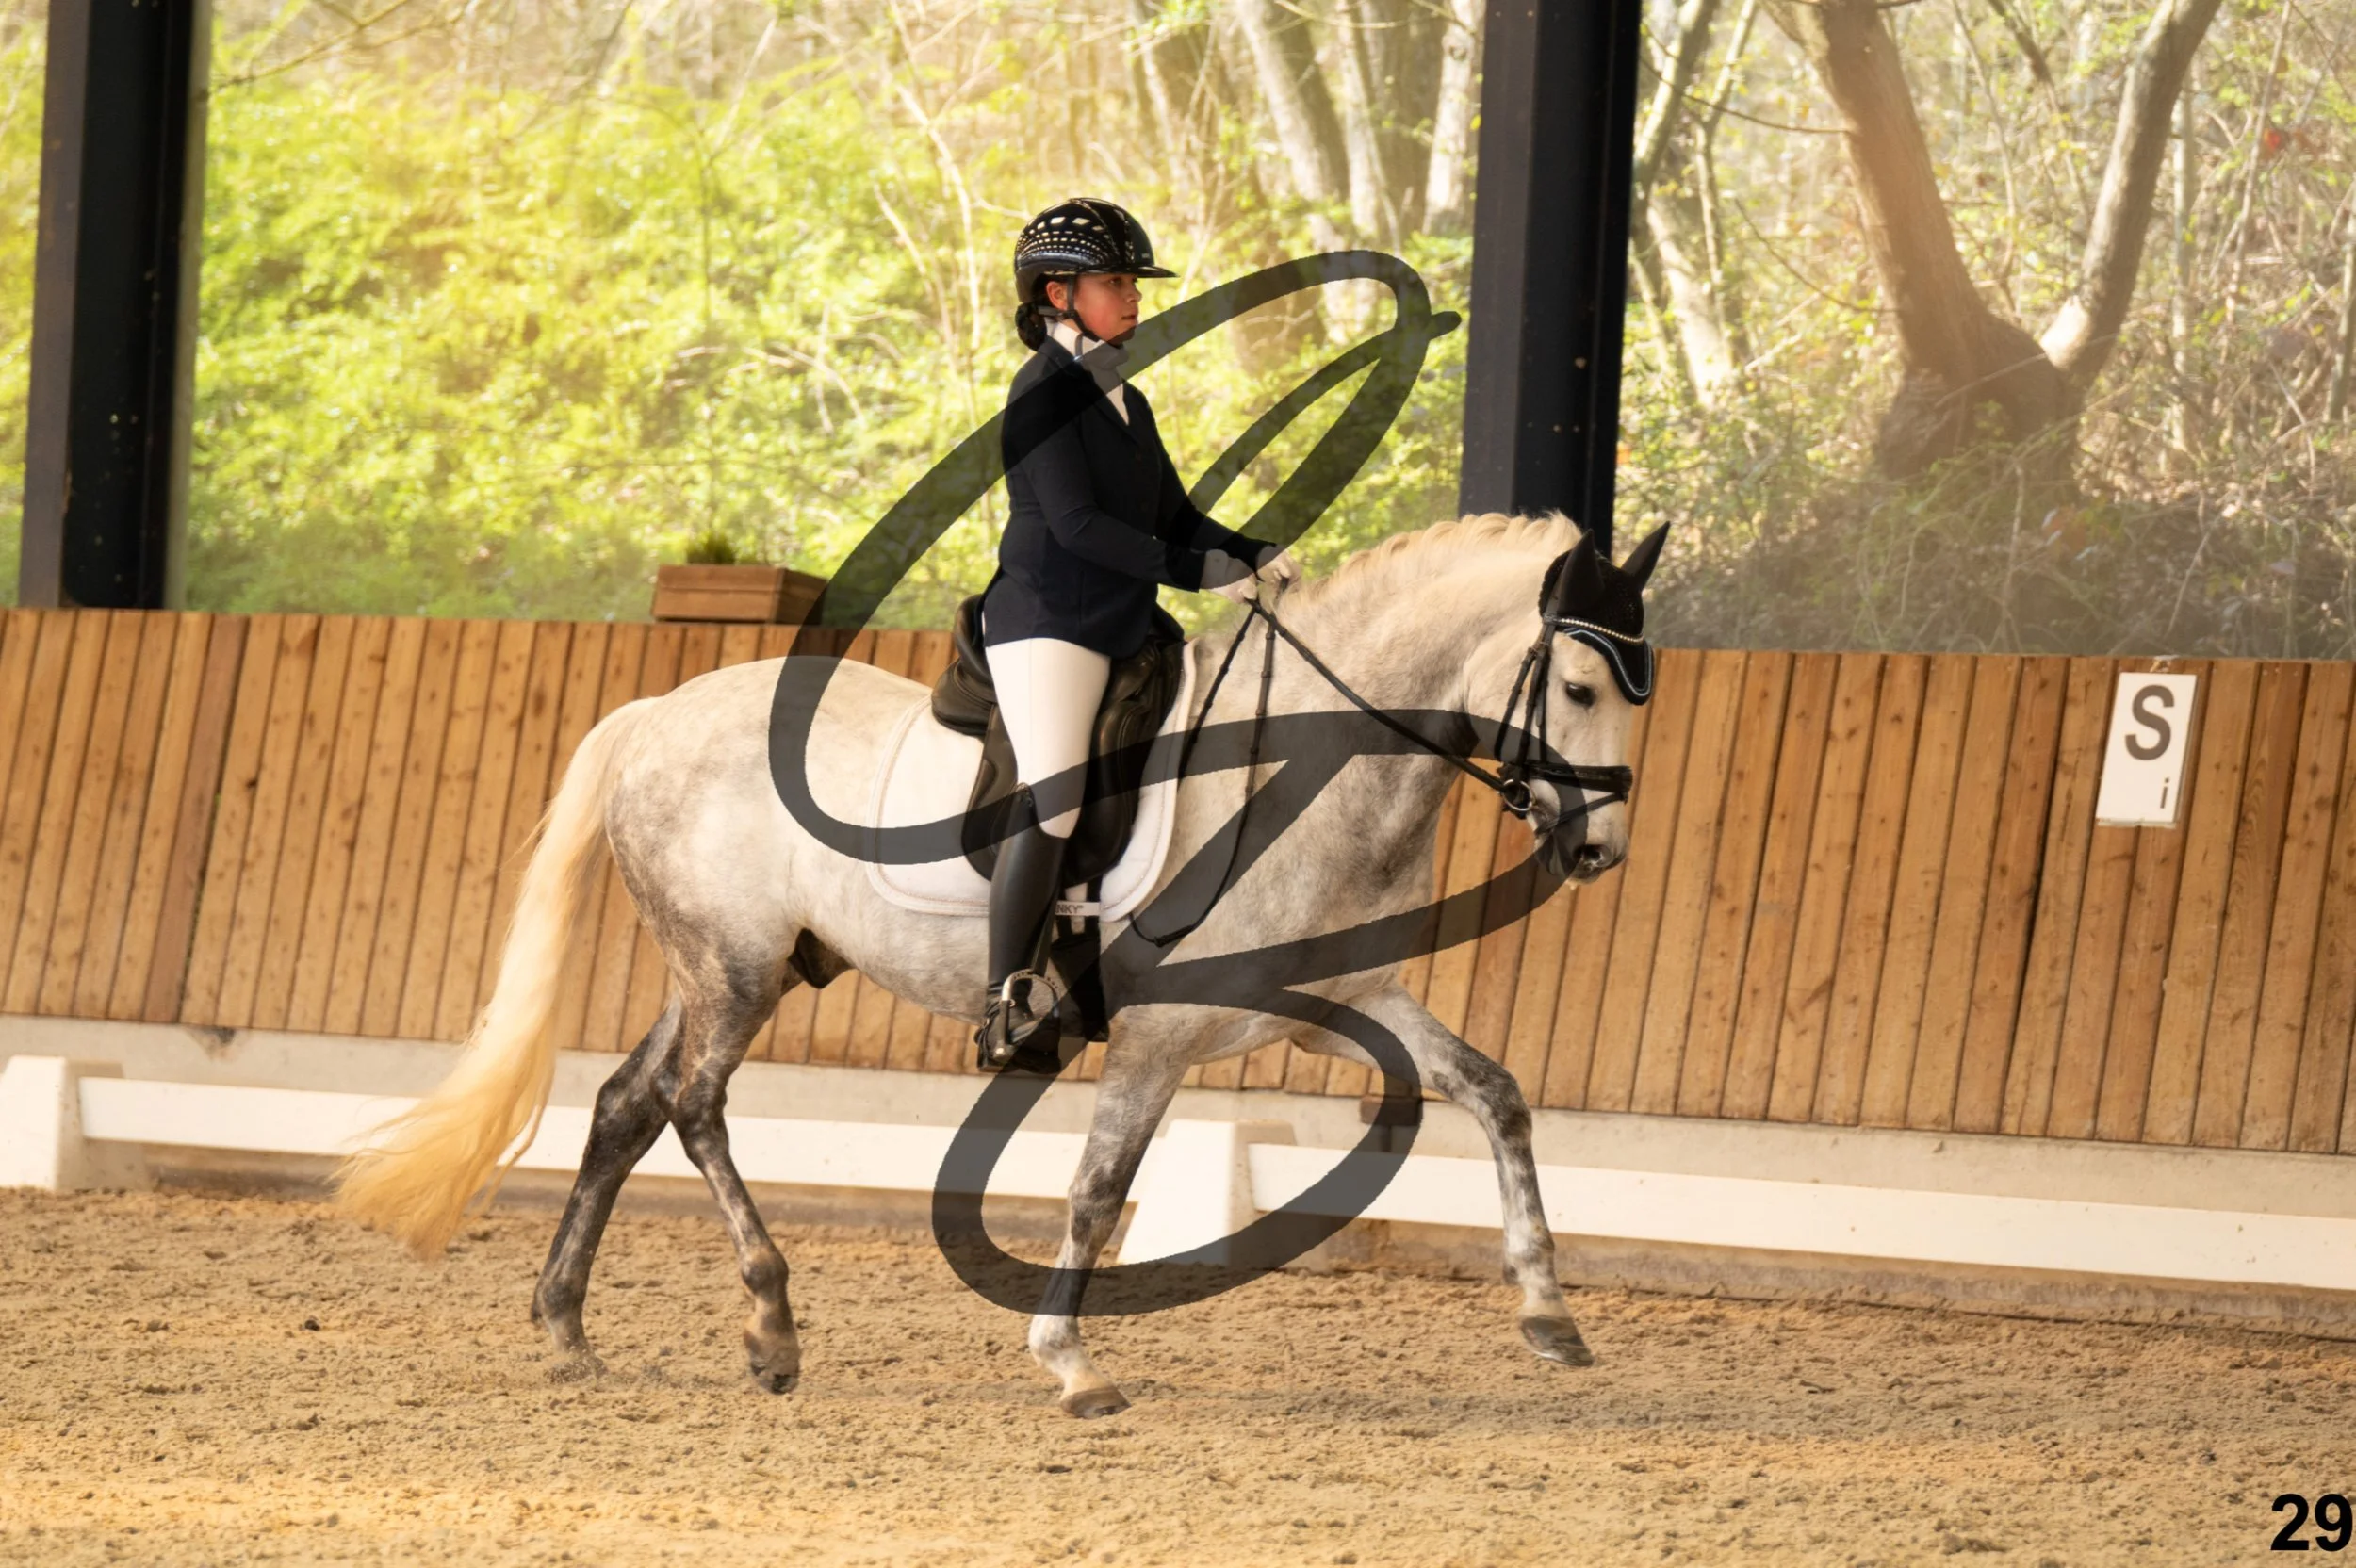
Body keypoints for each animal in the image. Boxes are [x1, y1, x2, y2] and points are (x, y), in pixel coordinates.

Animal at [334, 510, 1661, 1418]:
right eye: (1577, 684)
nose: (1597, 848)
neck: (1302, 767)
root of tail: (662, 709)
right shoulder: (1162, 1030)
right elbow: (1097, 1187)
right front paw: (1070, 1364)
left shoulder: (1343, 994)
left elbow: (1494, 1090)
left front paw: (1549, 1311)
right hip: (735, 970)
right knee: (694, 1102)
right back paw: (770, 1322)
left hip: (724, 967)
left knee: (625, 1103)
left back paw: (566, 1327)